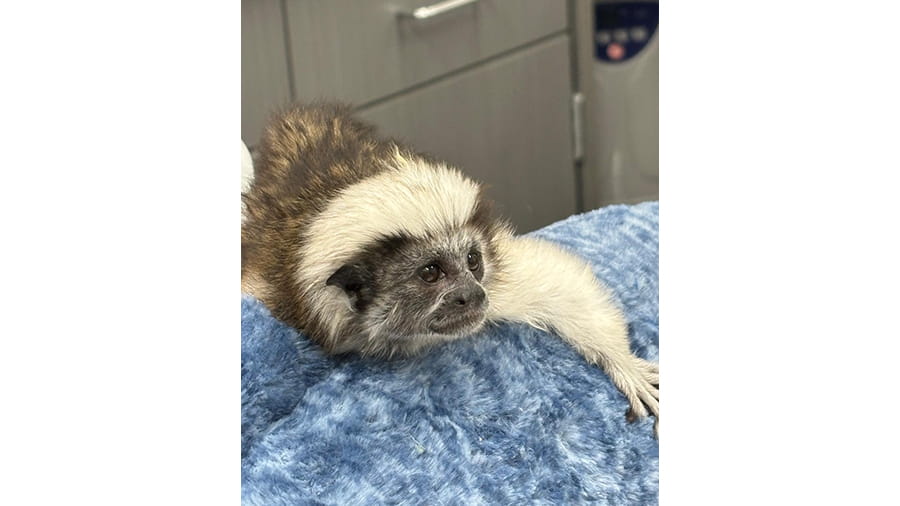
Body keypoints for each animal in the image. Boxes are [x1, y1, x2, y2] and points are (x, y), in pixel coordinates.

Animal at [241, 103, 658, 430]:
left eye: (473, 261)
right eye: (430, 273)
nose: (472, 296)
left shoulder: (496, 282)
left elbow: (559, 285)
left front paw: (625, 365)